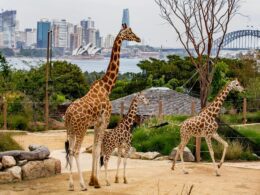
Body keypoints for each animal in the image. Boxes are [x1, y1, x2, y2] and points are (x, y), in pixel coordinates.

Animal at [64, 23, 140, 190]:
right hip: (81, 129)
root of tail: (68, 115)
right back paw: (82, 185)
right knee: (76, 151)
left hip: (70, 129)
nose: (138, 38)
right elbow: (98, 149)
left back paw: (71, 185)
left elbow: (94, 150)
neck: (107, 87)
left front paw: (94, 180)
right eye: (130, 32)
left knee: (70, 151)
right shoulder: (104, 120)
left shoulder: (97, 123)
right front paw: (97, 182)